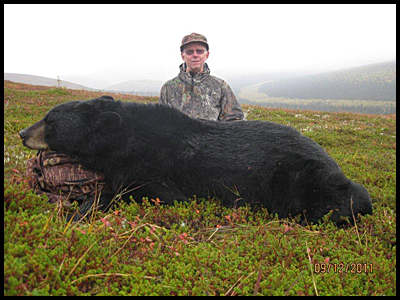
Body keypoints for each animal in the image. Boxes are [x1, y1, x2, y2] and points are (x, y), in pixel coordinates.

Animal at [20, 96, 374, 223]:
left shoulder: (156, 168)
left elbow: (152, 194)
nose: (23, 132)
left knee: (340, 198)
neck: (122, 137)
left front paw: (78, 213)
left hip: (300, 176)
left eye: (50, 121)